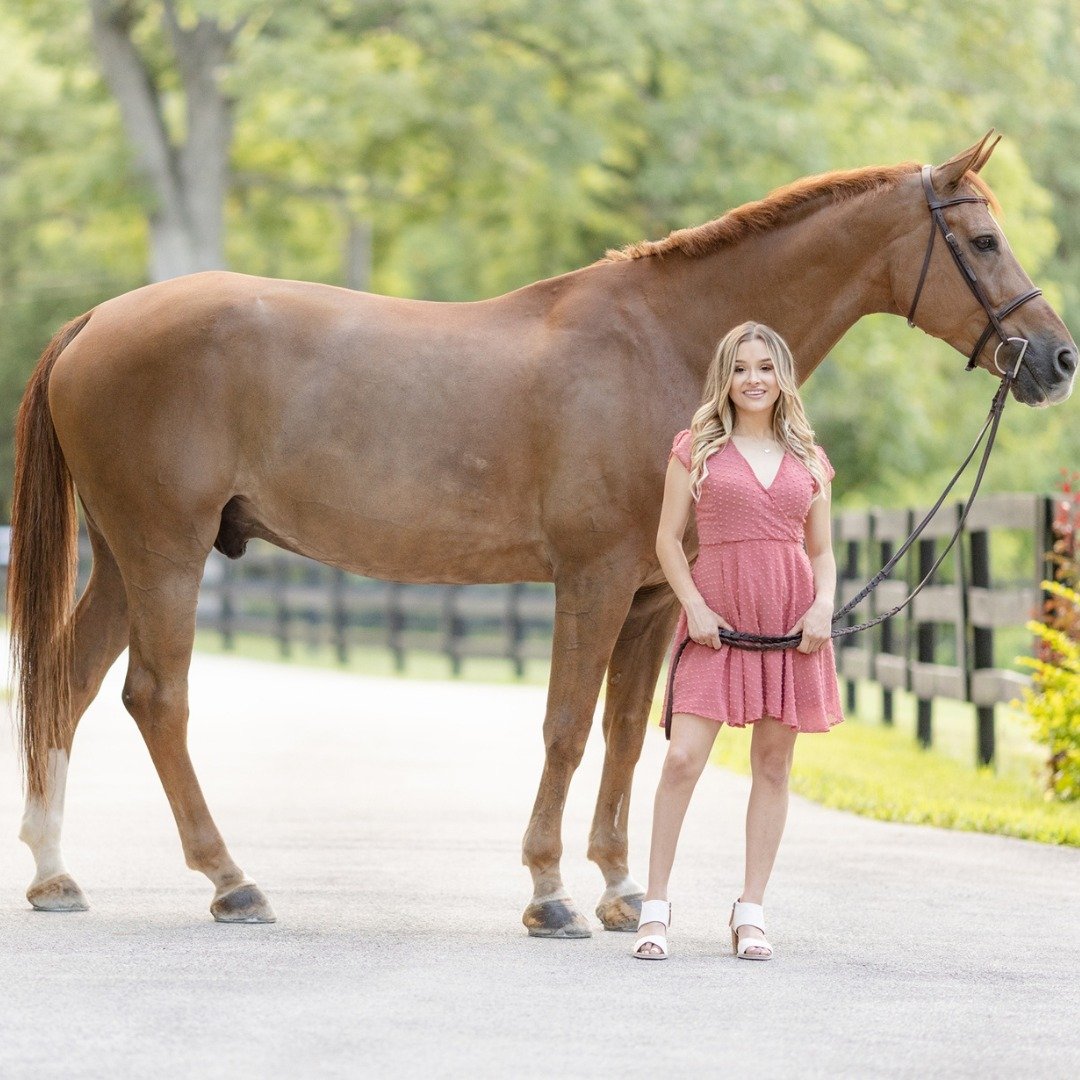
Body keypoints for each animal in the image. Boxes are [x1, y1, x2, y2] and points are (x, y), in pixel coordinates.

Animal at [6, 132, 1071, 928]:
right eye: (982, 240)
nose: (1056, 360)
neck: (664, 343)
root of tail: (96, 321)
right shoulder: (591, 581)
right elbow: (565, 726)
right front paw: (551, 893)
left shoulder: (653, 599)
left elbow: (627, 735)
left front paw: (619, 887)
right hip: (165, 552)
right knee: (155, 698)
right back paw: (232, 881)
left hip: (125, 559)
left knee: (69, 681)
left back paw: (56, 874)